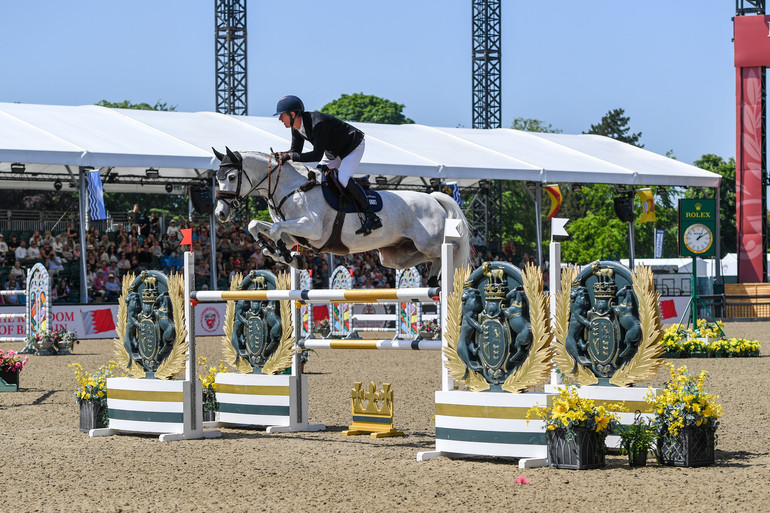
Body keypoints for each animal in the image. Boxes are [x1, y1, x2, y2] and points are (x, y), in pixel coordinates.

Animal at [213, 147, 472, 284]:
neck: (292, 188)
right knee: (427, 259)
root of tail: (433, 198)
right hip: (394, 257)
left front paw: (285, 255)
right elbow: (256, 225)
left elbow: (276, 230)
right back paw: (433, 280)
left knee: (450, 248)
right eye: (217, 177)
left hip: (429, 242)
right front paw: (277, 253)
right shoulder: (293, 233)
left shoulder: (312, 229)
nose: (220, 213)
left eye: (232, 177)